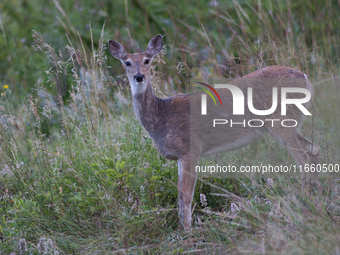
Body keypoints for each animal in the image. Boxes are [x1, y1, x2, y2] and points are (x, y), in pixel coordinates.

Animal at [107, 34, 320, 231]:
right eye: (127, 62)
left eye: (147, 60)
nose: (139, 76)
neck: (161, 117)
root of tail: (305, 78)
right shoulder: (179, 156)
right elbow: (179, 193)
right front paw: (180, 227)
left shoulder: (191, 148)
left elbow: (187, 194)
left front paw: (187, 231)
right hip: (290, 123)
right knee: (314, 149)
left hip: (281, 122)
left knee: (304, 158)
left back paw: (305, 201)